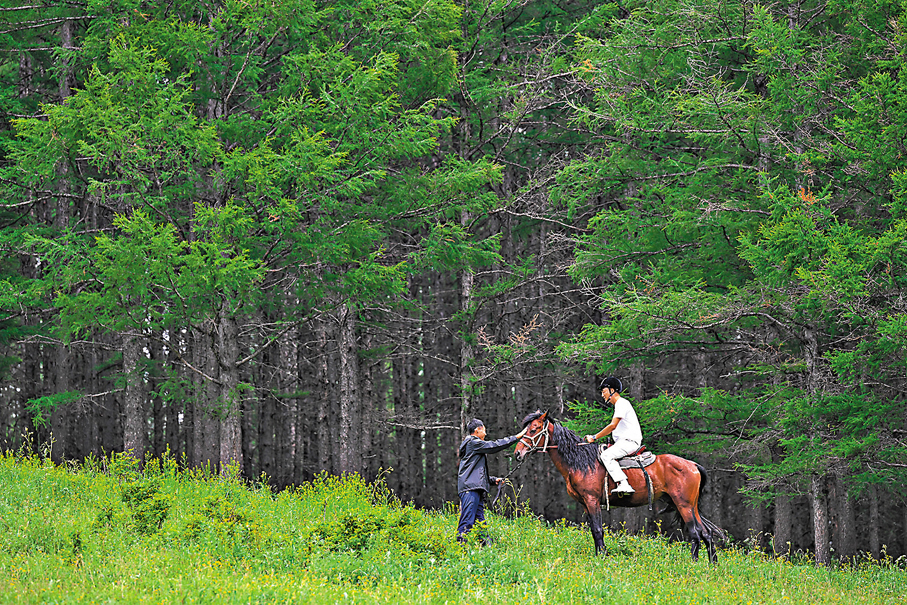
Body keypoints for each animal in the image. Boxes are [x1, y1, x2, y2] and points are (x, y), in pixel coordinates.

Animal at [514, 410, 724, 562]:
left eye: (534, 429)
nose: (517, 453)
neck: (581, 462)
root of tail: (693, 465)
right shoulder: (585, 503)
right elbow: (594, 530)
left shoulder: (592, 500)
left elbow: (598, 529)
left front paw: (602, 557)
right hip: (690, 505)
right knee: (706, 533)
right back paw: (712, 564)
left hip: (684, 505)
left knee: (695, 533)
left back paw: (694, 562)